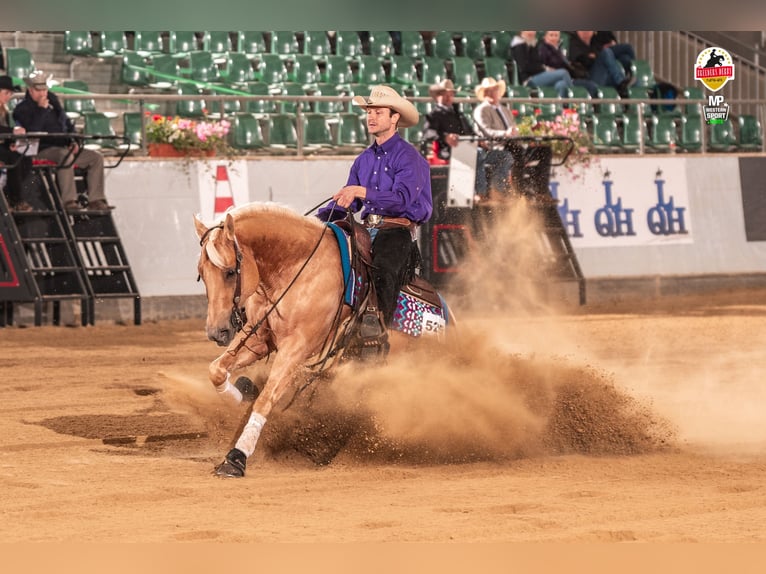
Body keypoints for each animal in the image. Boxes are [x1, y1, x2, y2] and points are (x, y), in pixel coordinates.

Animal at [195, 205, 452, 480]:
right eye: (202, 273)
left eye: (230, 272)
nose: (217, 332)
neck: (297, 269)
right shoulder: (258, 337)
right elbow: (216, 370)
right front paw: (241, 395)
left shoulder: (296, 348)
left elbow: (266, 399)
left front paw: (236, 457)